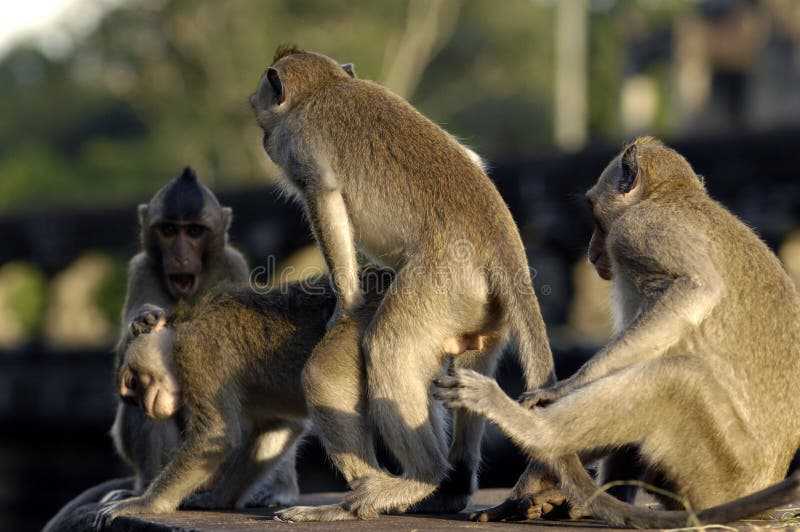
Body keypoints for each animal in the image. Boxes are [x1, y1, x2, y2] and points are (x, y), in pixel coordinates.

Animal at [250, 45, 564, 520]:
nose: (255, 109)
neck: (325, 86)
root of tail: (500, 242)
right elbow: (473, 158)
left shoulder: (299, 146)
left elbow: (326, 201)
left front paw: (345, 304)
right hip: (484, 311)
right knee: (458, 367)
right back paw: (450, 486)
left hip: (444, 283)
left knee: (386, 347)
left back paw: (407, 484)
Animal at [434, 137, 800, 528]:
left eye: (595, 217)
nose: (591, 252)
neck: (669, 194)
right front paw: (529, 492)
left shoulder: (636, 232)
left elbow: (696, 289)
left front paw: (564, 389)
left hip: (720, 468)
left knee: (675, 377)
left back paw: (532, 430)